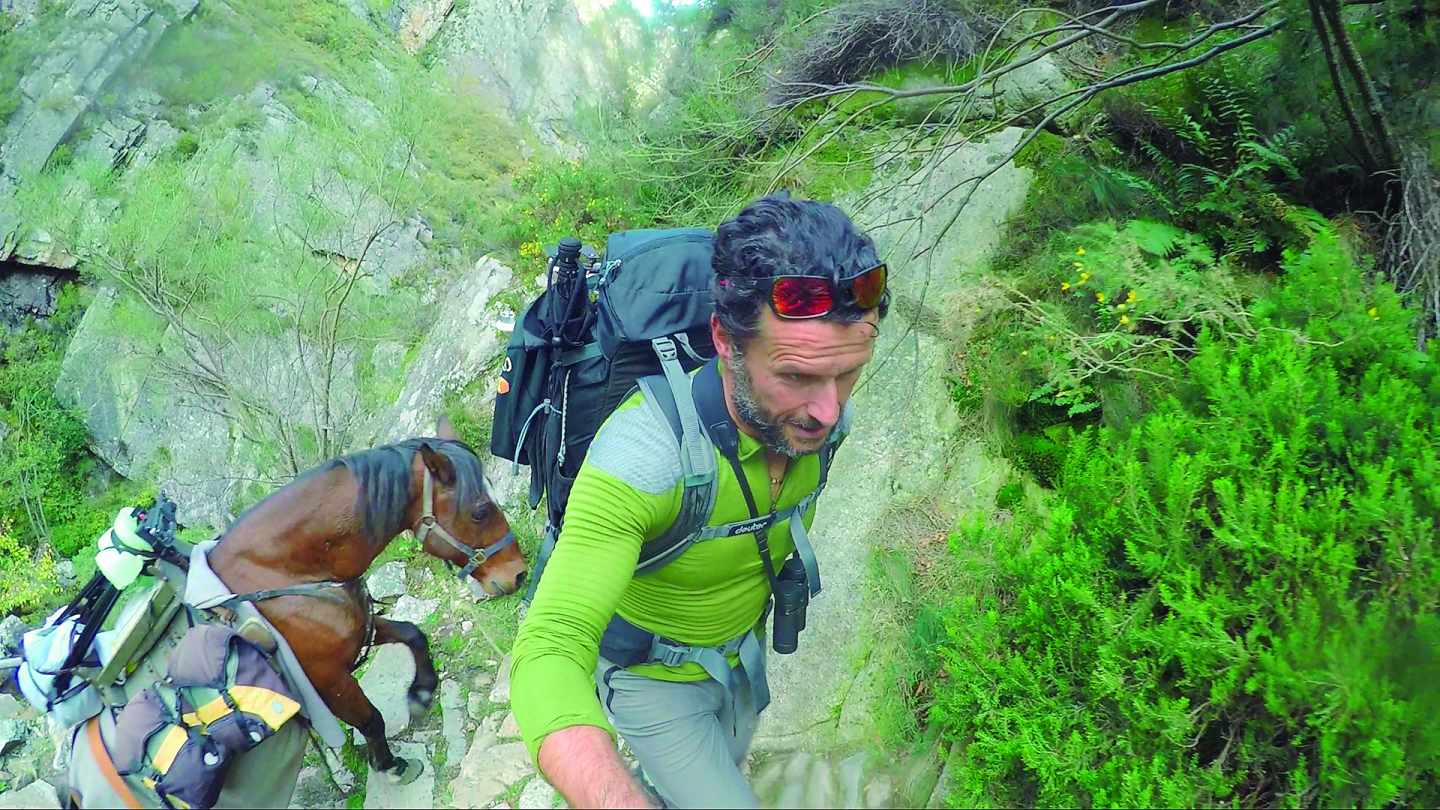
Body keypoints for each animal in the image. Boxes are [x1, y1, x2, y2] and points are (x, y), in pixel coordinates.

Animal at [50, 425, 527, 806]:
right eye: (479, 510)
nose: (518, 574)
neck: (287, 574)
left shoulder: (359, 633)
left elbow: (413, 634)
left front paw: (422, 692)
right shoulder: (328, 678)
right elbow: (371, 718)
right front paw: (390, 765)